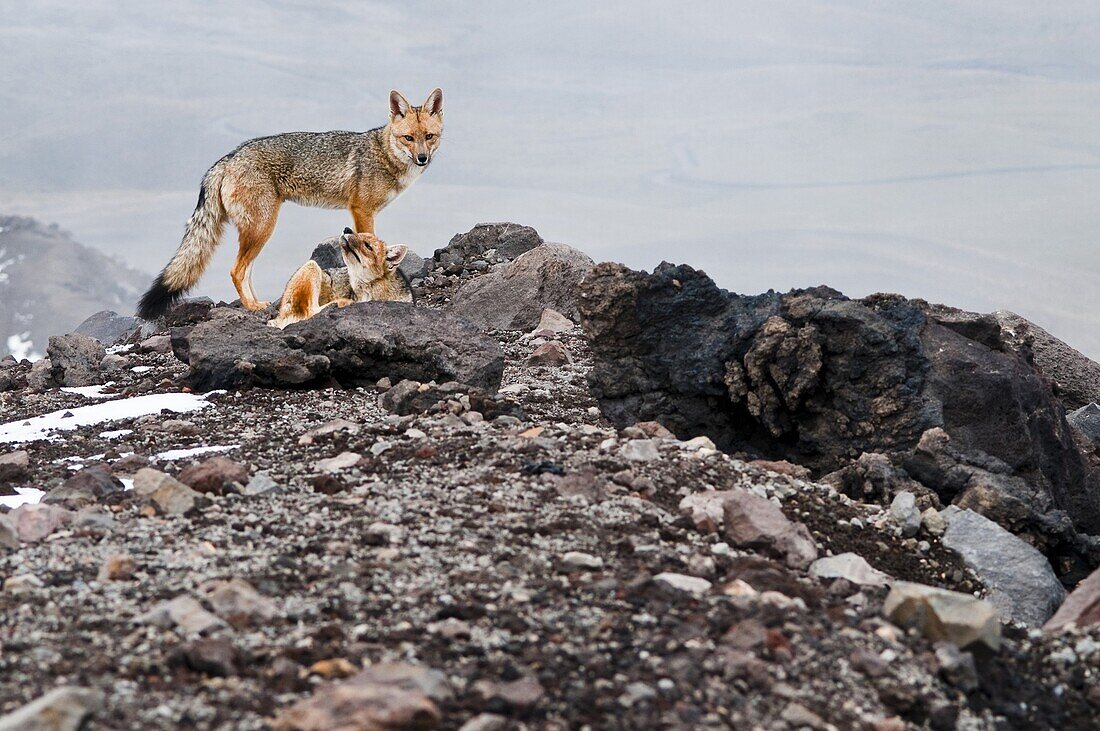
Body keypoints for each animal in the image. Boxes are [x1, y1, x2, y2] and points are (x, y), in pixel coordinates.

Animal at [269, 226, 413, 325]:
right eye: (359, 233)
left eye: (368, 246)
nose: (347, 228)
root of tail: (279, 317)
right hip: (313, 266)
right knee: (309, 312)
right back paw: (343, 302)